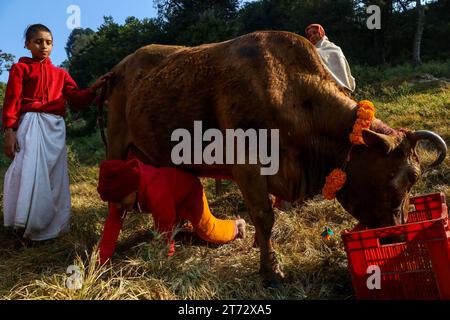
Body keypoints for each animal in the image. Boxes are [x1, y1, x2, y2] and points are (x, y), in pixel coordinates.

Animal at [103, 31, 446, 288]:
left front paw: (258, 245)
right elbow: (264, 215)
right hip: (117, 140)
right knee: (115, 201)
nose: (396, 235)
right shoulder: (246, 162)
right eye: (403, 178)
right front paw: (271, 269)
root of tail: (119, 67)